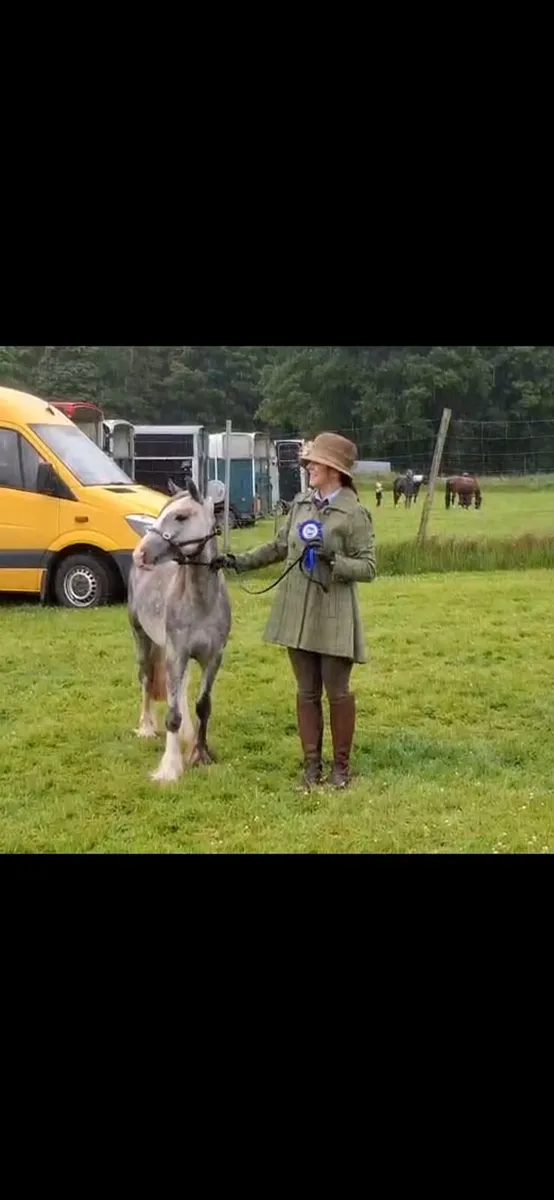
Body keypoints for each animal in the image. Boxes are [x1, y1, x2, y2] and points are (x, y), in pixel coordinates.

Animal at [128, 479, 231, 783]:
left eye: (181, 516)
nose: (139, 554)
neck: (201, 601)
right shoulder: (176, 653)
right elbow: (172, 715)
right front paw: (170, 768)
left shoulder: (213, 657)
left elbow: (203, 706)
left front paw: (200, 754)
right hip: (142, 638)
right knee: (146, 679)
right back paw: (146, 728)